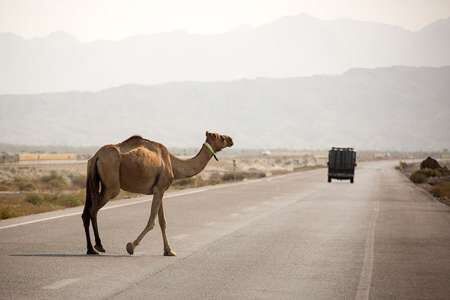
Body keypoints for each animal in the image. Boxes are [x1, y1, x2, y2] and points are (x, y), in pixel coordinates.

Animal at [81, 131, 234, 255]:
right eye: (220, 136)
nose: (231, 139)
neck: (173, 163)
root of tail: (96, 156)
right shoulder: (159, 189)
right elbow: (152, 222)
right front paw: (131, 246)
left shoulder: (159, 190)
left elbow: (162, 222)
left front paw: (169, 251)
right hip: (111, 184)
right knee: (93, 210)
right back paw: (99, 246)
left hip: (95, 180)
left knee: (86, 212)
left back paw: (90, 249)